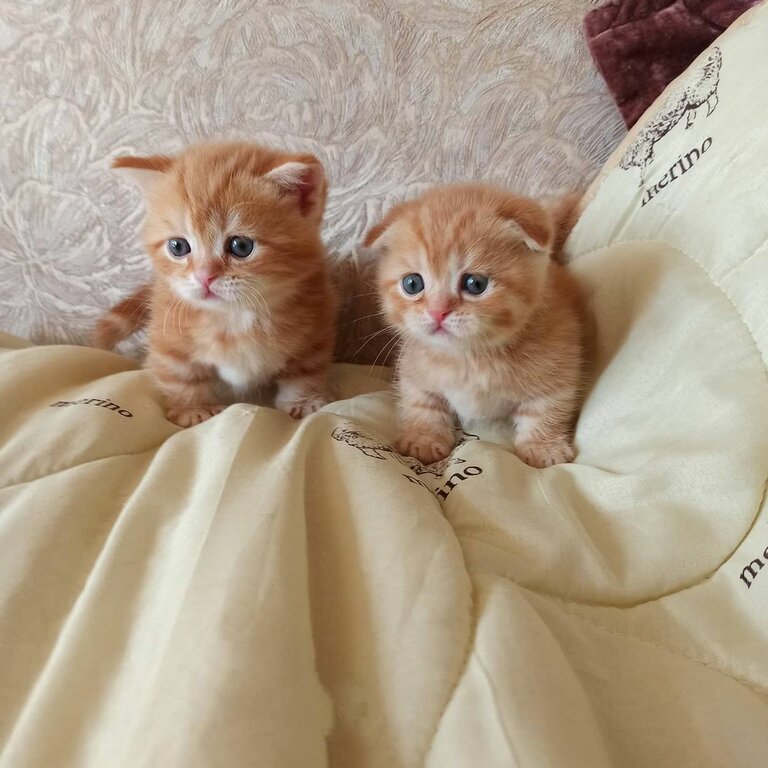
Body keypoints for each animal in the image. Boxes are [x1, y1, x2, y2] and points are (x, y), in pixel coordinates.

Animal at [93, 138, 336, 426]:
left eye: (241, 246)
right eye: (178, 246)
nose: (204, 276)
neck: (235, 317)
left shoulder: (316, 325)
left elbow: (306, 369)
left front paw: (304, 401)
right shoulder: (167, 331)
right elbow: (179, 374)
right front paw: (193, 408)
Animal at [366, 184, 584, 468]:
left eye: (475, 284)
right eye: (412, 284)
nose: (437, 312)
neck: (469, 357)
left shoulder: (559, 362)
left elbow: (547, 408)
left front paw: (543, 447)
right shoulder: (414, 367)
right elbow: (422, 402)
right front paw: (423, 438)